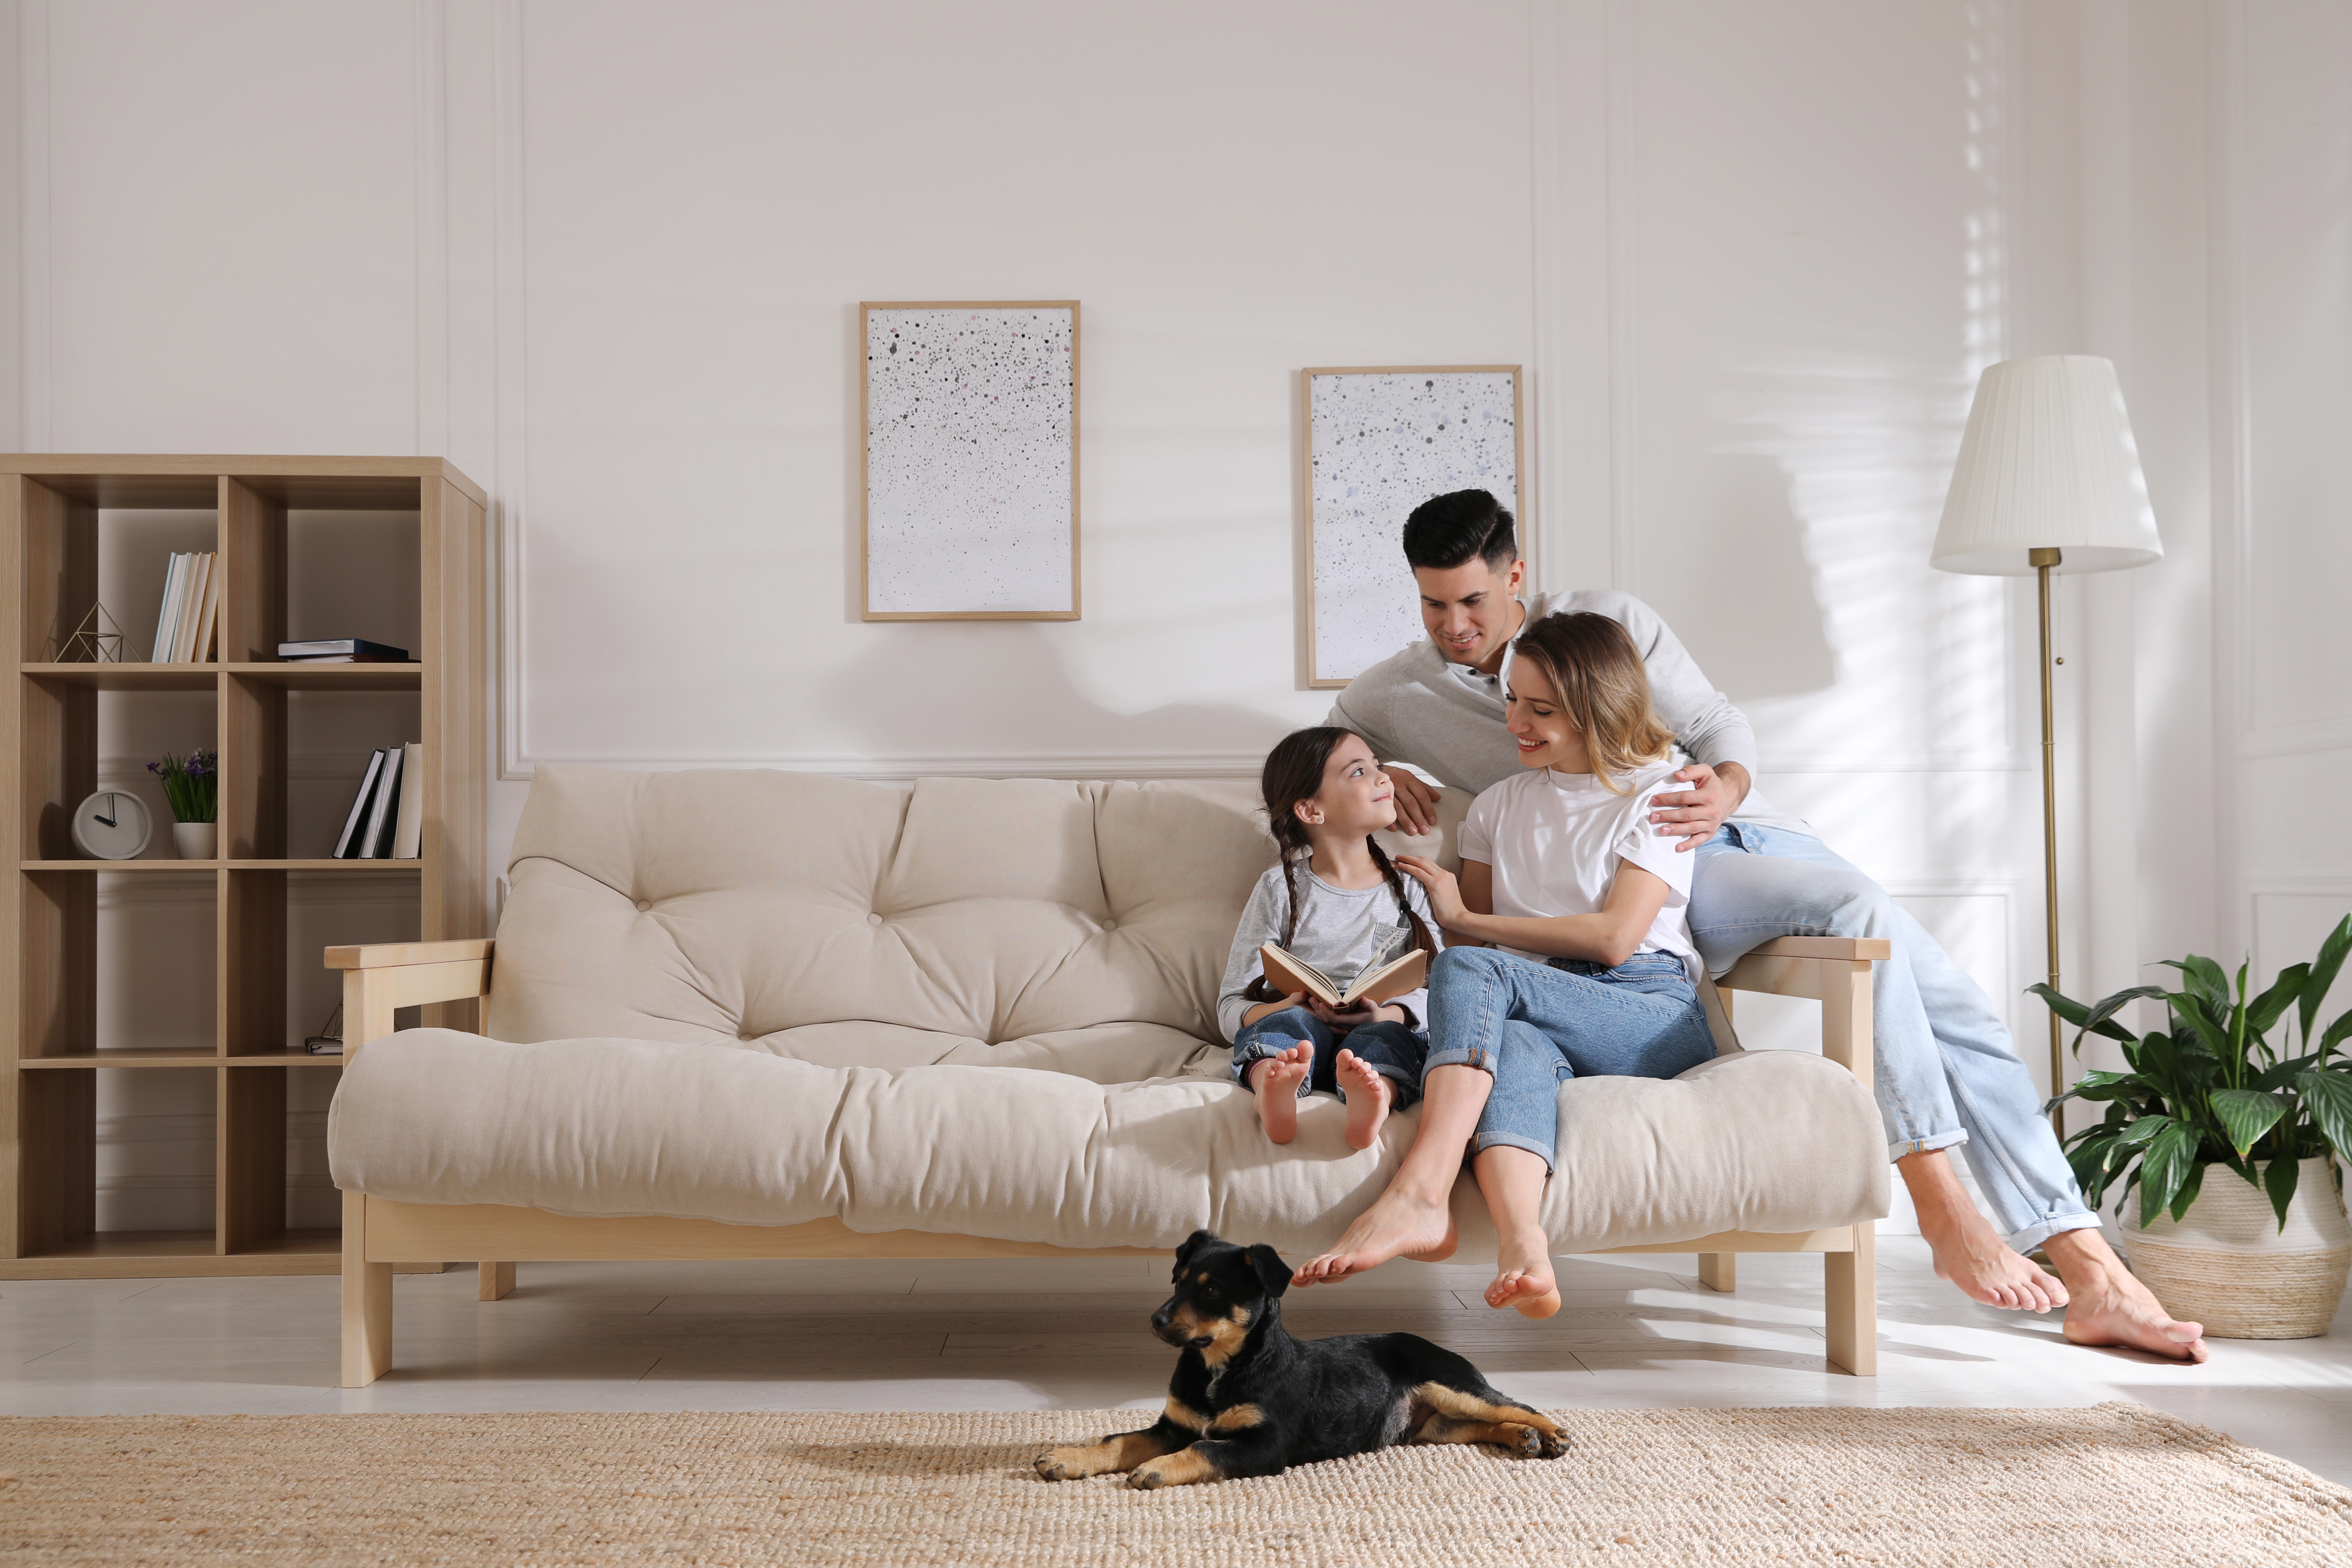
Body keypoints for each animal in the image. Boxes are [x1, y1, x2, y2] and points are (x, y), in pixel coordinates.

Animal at [1035, 1232, 1562, 1495]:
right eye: (1178, 1279)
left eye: (1211, 1290)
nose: (1156, 1320)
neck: (1219, 1367)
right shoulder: (1174, 1425)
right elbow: (1119, 1440)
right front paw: (1067, 1458)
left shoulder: (1266, 1445)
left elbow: (1204, 1448)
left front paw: (1157, 1469)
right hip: (1432, 1426)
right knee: (1482, 1424)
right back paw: (1523, 1439)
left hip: (1450, 1383)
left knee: (1512, 1404)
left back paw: (1552, 1434)